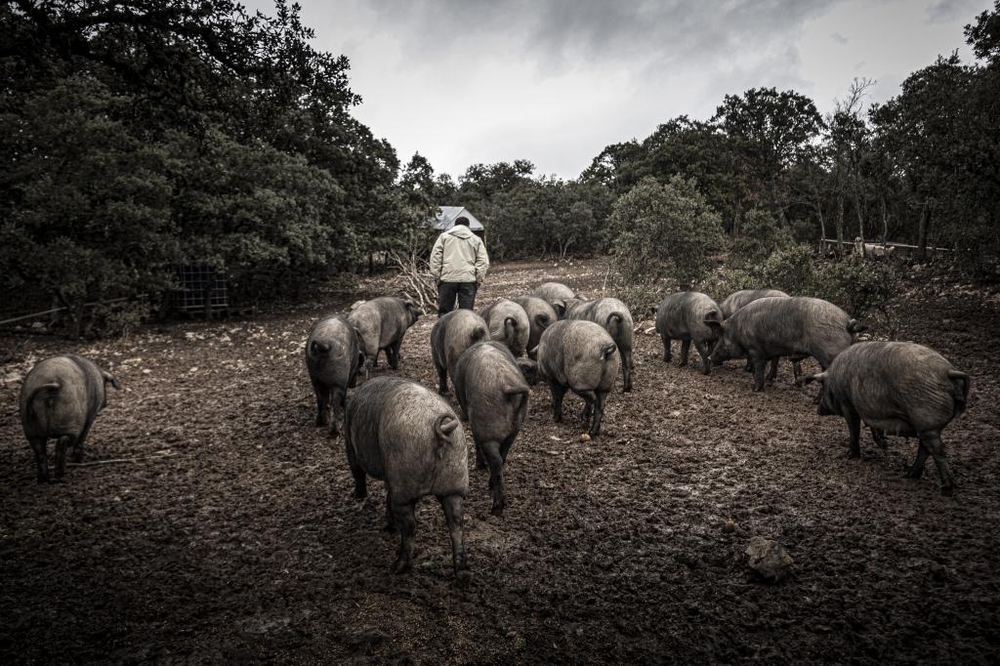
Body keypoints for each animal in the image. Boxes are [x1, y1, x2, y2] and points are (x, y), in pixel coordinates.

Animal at [18, 352, 120, 482]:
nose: (106, 403)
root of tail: (52, 382)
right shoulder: (90, 416)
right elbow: (83, 435)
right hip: (71, 416)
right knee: (63, 442)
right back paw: (60, 475)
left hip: (30, 426)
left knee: (39, 450)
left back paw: (43, 479)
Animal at [344, 376, 468, 572]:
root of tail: (441, 427)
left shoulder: (350, 445)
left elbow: (358, 473)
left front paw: (359, 496)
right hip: (455, 481)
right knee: (456, 521)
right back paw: (461, 569)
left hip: (404, 487)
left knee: (410, 525)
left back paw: (398, 566)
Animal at [454, 340, 532, 516]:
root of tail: (506, 386)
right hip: (515, 428)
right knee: (503, 456)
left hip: (486, 429)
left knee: (495, 461)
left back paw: (496, 508)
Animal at [708, 294, 864, 390]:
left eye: (722, 338)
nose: (710, 357)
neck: (738, 329)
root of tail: (848, 322)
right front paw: (767, 381)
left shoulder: (755, 350)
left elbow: (758, 369)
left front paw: (755, 389)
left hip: (829, 354)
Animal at [804, 342, 968, 492]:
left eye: (823, 386)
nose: (818, 410)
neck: (834, 378)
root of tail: (948, 371)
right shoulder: (870, 411)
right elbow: (872, 428)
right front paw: (884, 444)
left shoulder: (848, 406)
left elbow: (854, 430)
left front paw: (849, 455)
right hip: (926, 426)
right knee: (925, 448)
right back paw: (909, 474)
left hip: (927, 421)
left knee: (937, 450)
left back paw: (946, 487)